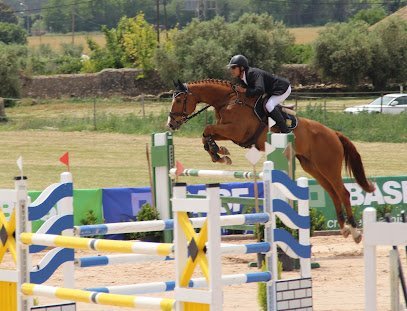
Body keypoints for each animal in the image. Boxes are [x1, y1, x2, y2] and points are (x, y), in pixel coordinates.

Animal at [167, 78, 374, 244]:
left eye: (179, 100)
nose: (170, 124)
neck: (228, 101)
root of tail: (334, 133)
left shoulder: (236, 131)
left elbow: (208, 129)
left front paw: (220, 153)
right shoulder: (227, 131)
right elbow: (207, 134)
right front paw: (219, 154)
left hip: (328, 166)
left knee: (343, 192)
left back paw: (355, 232)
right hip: (313, 167)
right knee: (333, 193)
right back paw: (344, 229)